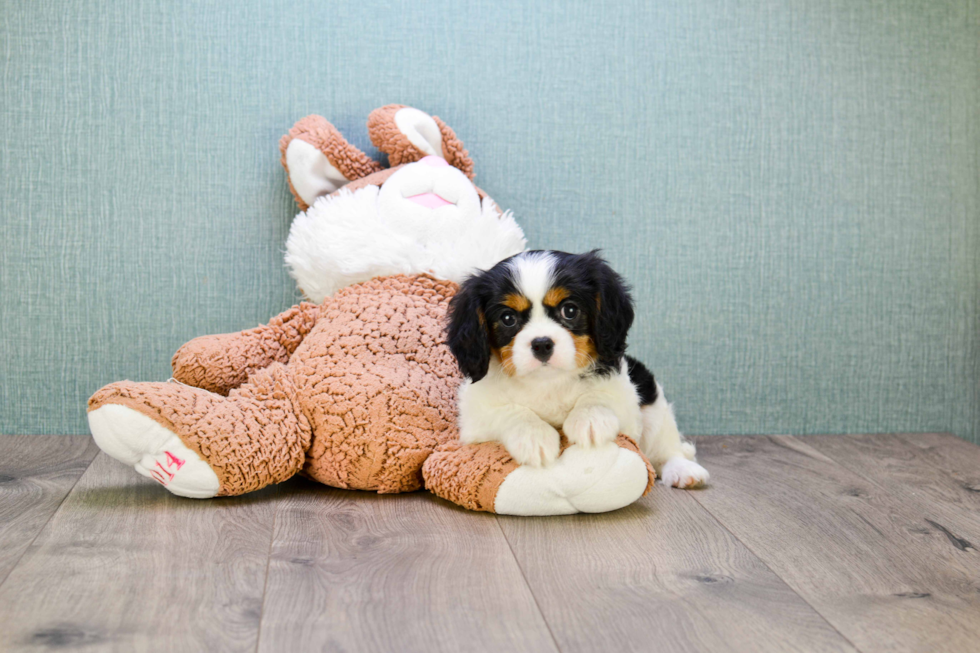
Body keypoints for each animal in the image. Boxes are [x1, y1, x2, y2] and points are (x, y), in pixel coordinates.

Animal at [448, 252, 708, 486]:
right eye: (508, 318)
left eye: (570, 310)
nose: (541, 343)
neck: (547, 382)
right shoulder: (475, 418)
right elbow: (511, 412)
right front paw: (534, 436)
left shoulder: (626, 399)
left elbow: (599, 396)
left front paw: (589, 419)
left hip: (653, 403)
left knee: (665, 448)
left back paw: (684, 470)